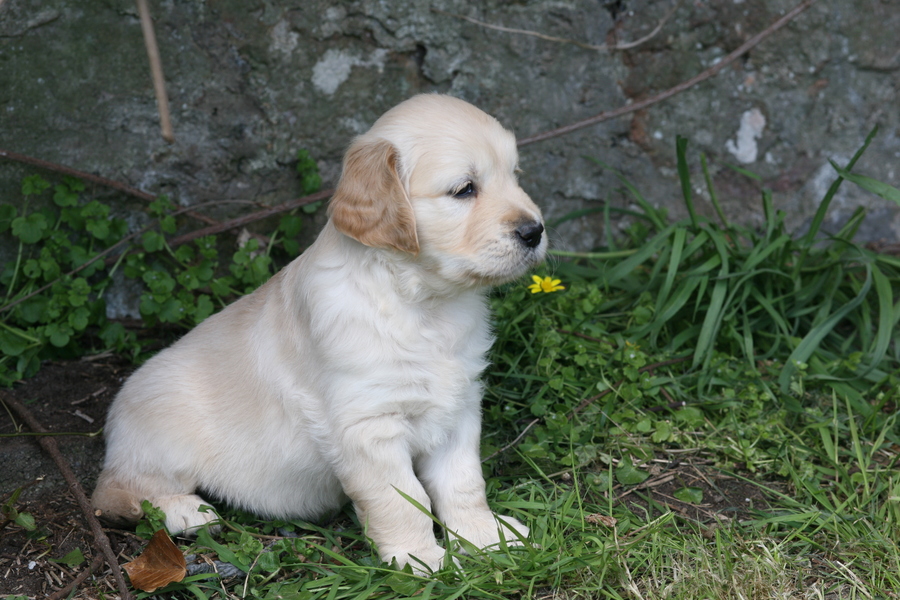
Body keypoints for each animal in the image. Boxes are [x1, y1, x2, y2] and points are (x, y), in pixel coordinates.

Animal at [91, 95, 544, 572]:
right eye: (464, 189)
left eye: (514, 175)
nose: (535, 231)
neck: (423, 303)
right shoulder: (367, 427)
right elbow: (404, 499)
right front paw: (421, 560)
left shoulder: (458, 408)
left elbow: (463, 484)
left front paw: (487, 539)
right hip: (162, 438)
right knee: (116, 493)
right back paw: (184, 510)